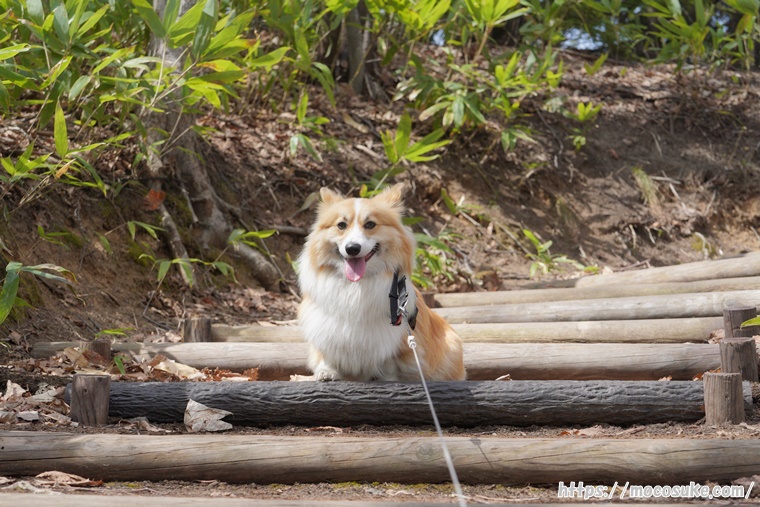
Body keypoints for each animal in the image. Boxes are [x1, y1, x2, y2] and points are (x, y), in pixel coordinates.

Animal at [296, 184, 464, 380]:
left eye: (370, 224)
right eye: (341, 225)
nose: (352, 248)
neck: (356, 286)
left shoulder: (395, 339)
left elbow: (391, 363)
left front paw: (384, 377)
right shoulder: (324, 327)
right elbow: (326, 353)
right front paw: (327, 371)